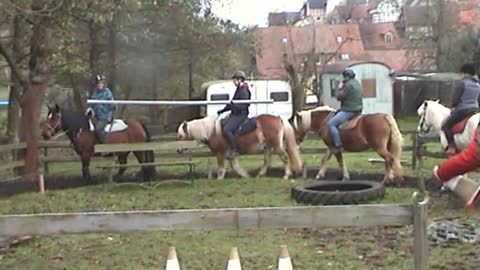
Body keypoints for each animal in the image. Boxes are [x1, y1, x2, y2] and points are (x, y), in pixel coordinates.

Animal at [176, 114, 304, 179]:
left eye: (181, 136)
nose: (178, 149)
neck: (211, 131)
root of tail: (278, 118)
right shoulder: (231, 155)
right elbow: (235, 167)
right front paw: (245, 175)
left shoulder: (220, 154)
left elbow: (221, 168)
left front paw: (219, 179)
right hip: (268, 147)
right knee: (266, 161)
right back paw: (260, 174)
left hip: (276, 145)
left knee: (285, 157)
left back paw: (286, 175)